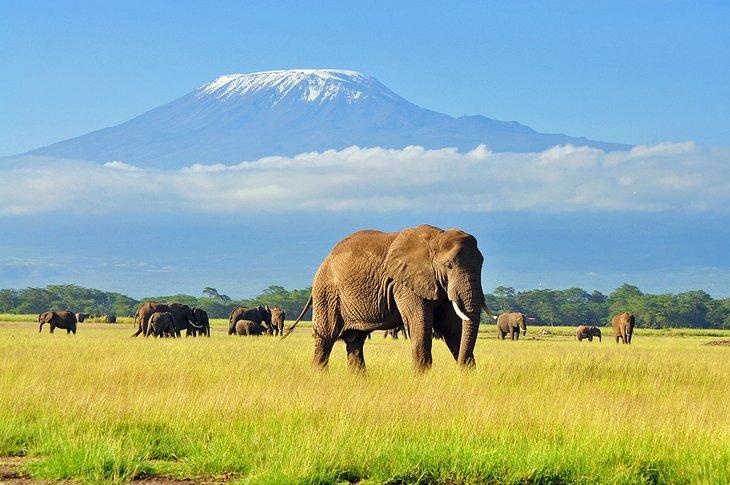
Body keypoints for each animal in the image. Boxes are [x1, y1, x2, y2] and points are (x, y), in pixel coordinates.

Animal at [283, 225, 494, 372]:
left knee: (355, 341)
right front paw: (422, 378)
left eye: (482, 265)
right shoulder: (405, 284)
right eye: (449, 265)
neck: (436, 237)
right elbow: (420, 323)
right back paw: (320, 376)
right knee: (325, 339)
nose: (459, 368)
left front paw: (468, 375)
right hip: (327, 293)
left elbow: (451, 326)